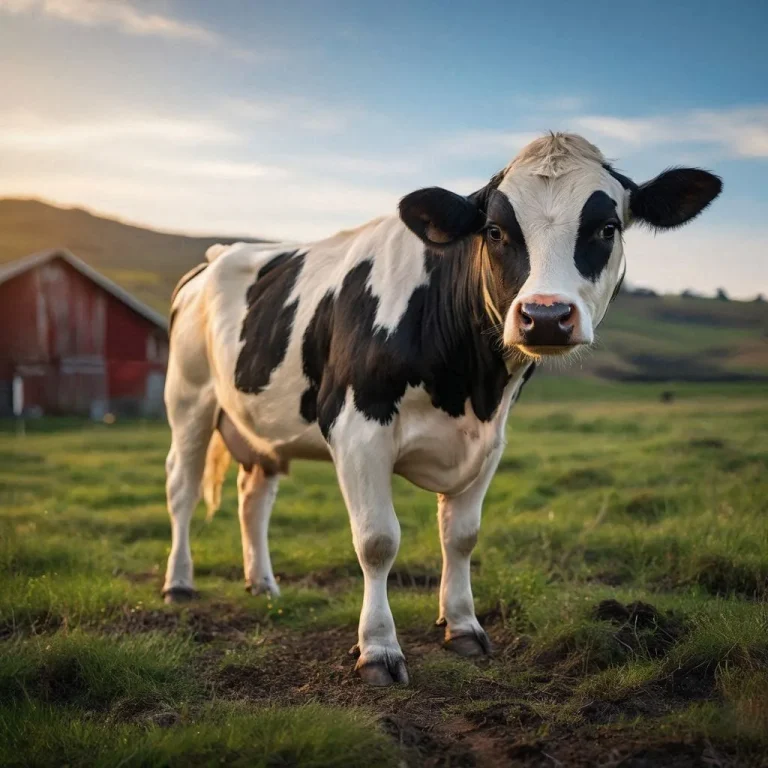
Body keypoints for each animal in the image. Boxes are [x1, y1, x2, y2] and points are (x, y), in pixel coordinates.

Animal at [163, 133, 721, 686]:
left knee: (253, 496)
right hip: (189, 398)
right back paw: (179, 584)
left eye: (607, 227)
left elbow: (462, 536)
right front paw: (379, 650)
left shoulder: (490, 440)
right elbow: (377, 540)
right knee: (182, 488)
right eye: (495, 231)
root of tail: (220, 253)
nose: (544, 316)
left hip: (257, 427)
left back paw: (262, 583)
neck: (470, 386)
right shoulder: (356, 428)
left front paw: (462, 626)